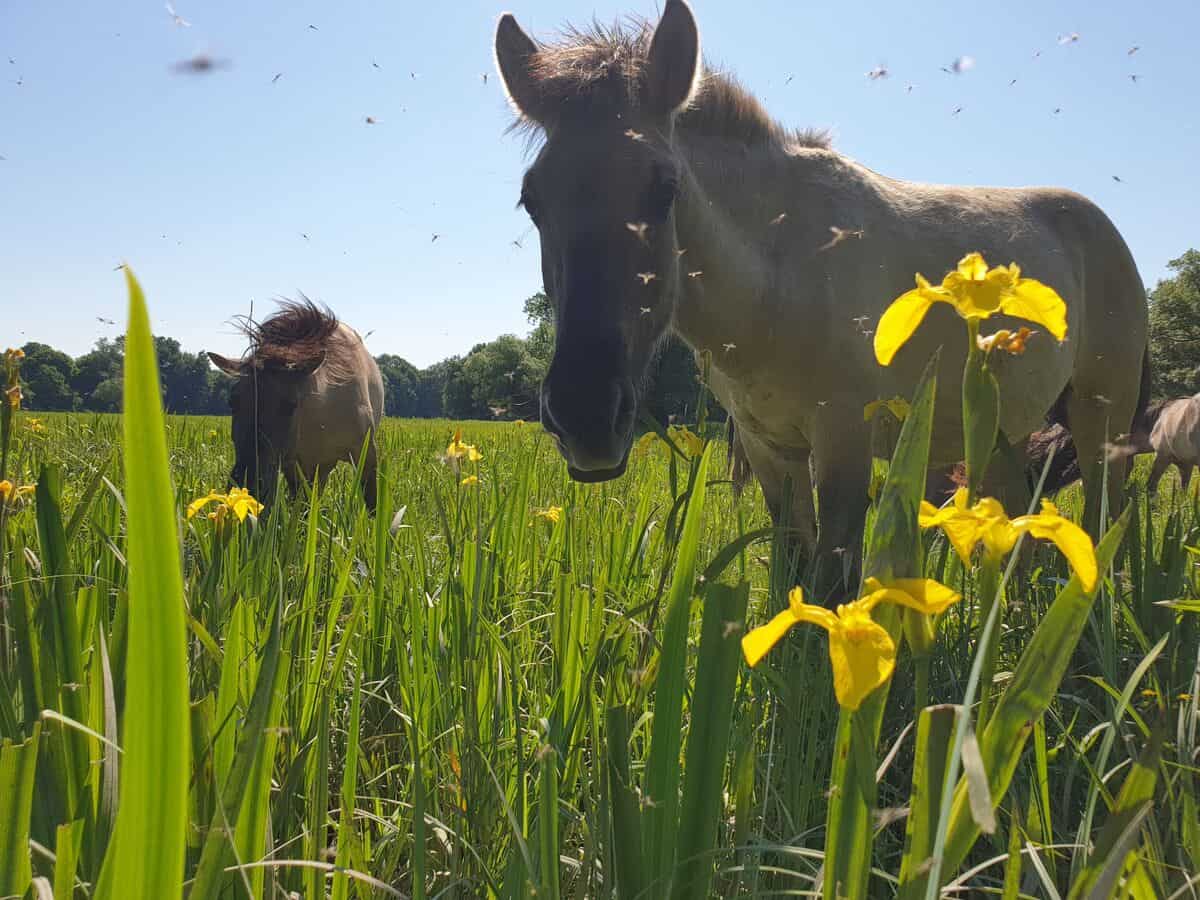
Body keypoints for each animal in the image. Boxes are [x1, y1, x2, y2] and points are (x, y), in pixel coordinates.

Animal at [206, 303, 384, 511]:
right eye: (232, 402)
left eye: (291, 406)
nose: (248, 486)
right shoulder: (296, 466)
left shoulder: (366, 454)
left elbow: (372, 503)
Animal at [492, 0, 1147, 595]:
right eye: (532, 199)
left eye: (666, 188)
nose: (584, 417)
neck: (781, 280)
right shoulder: (771, 449)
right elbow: (793, 570)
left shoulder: (843, 439)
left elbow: (833, 581)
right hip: (1002, 434)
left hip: (1102, 422)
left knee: (1105, 523)